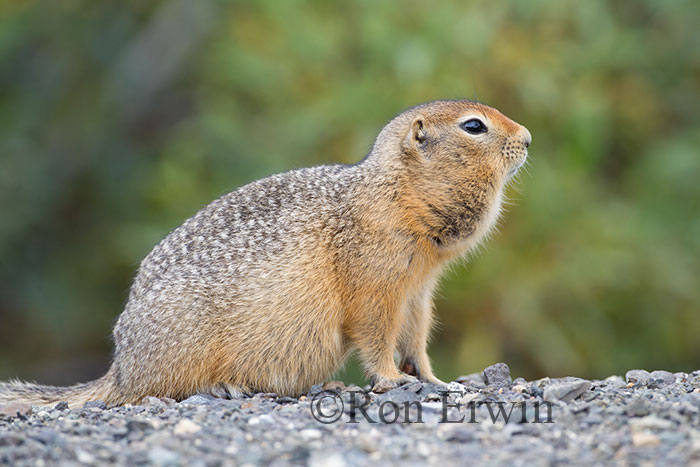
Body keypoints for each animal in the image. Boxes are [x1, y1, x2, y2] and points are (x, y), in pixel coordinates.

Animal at [1, 98, 532, 406]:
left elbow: (416, 338)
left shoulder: (418, 289)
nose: (527, 138)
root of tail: (120, 370)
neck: (395, 192)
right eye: (473, 126)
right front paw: (392, 380)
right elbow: (376, 333)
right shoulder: (376, 279)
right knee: (157, 392)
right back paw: (224, 386)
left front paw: (434, 379)